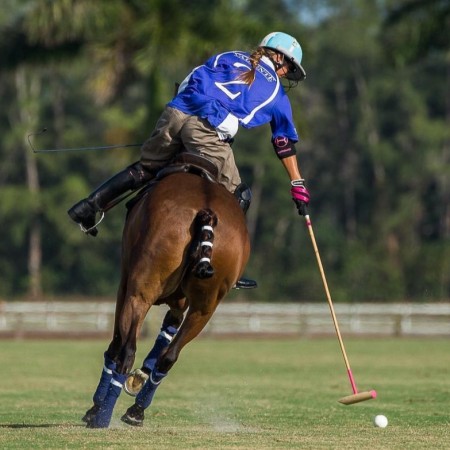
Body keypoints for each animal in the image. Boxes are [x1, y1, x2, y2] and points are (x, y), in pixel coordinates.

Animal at [81, 167, 250, 428]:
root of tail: (207, 213)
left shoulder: (125, 286)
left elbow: (115, 344)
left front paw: (95, 407)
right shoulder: (180, 301)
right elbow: (167, 332)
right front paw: (141, 377)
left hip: (139, 291)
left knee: (126, 351)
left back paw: (102, 416)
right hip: (206, 305)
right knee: (169, 356)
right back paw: (136, 410)